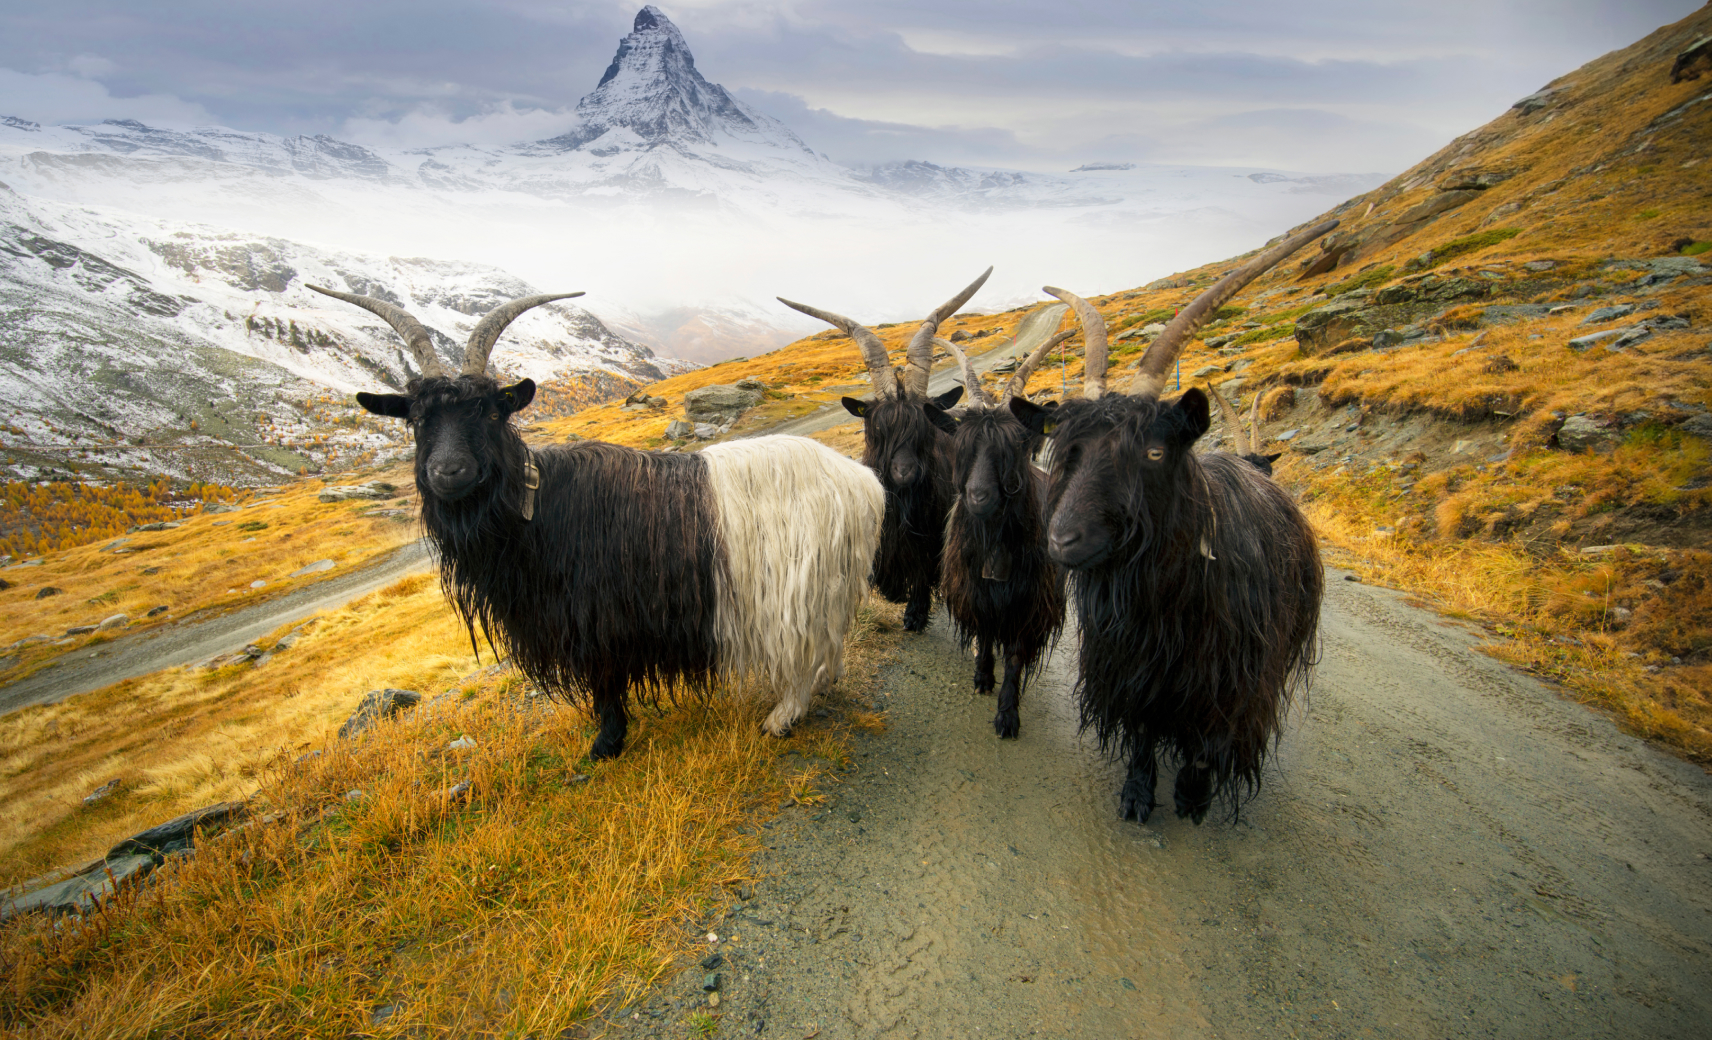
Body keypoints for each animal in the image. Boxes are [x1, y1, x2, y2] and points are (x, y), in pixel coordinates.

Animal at [312, 284, 884, 761]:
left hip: (800, 591)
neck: (536, 512)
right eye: (416, 419)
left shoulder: (596, 619)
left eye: (492, 412)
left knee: (807, 655)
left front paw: (606, 745)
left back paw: (782, 717)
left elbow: (605, 685)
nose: (449, 471)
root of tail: (862, 483)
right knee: (829, 652)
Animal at [778, 269, 990, 630]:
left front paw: (916, 613)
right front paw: (894, 593)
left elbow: (922, 570)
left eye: (924, 427)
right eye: (878, 429)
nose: (904, 472)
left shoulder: (930, 533)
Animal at [924, 332, 1070, 737]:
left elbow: (1017, 654)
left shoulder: (1030, 602)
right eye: (963, 445)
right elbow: (986, 631)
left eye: (1015, 447)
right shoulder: (975, 589)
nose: (978, 496)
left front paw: (1007, 714)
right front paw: (983, 677)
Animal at [1009, 220, 1336, 823]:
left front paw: (1192, 795)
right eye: (1066, 449)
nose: (1062, 540)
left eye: (1155, 452)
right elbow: (1141, 731)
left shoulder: (1235, 677)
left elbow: (1210, 743)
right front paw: (1139, 795)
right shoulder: (1131, 664)